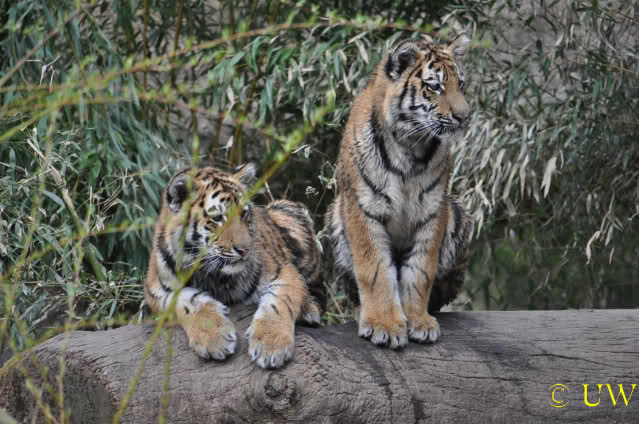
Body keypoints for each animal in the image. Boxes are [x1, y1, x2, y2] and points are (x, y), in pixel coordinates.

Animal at [144, 163, 325, 368]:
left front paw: (271, 344)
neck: (213, 273)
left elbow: (279, 301)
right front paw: (214, 338)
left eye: (244, 214)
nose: (245, 250)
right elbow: (188, 301)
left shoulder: (284, 270)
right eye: (217, 218)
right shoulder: (156, 290)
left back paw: (308, 310)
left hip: (286, 209)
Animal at [325, 34, 472, 349]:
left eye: (462, 84)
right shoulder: (362, 207)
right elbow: (375, 270)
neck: (412, 146)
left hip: (457, 213)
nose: (465, 117)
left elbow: (420, 270)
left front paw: (418, 321)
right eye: (435, 86)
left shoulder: (433, 210)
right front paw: (384, 324)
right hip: (335, 214)